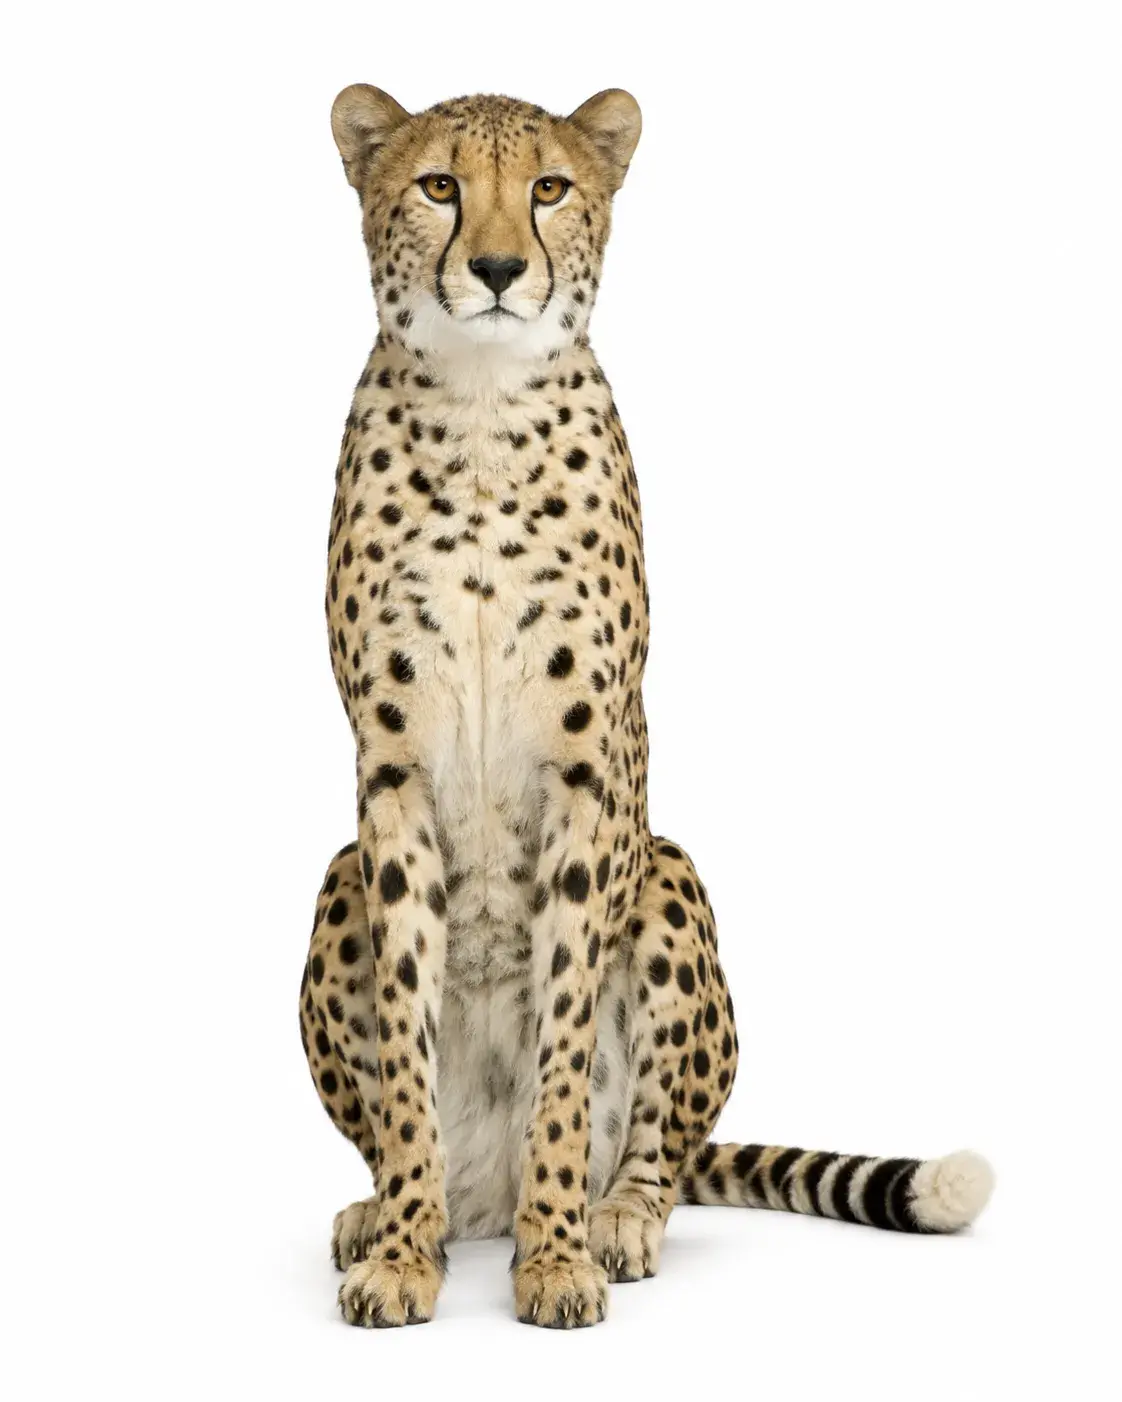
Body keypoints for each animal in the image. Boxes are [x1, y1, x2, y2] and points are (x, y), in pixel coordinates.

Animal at [298, 83, 994, 1329]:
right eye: (437, 185)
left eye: (549, 187)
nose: (495, 267)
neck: (481, 414)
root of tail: (488, 1188)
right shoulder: (389, 777)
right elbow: (408, 1049)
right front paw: (408, 1252)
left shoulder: (591, 779)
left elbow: (567, 1043)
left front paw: (557, 1256)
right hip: (337, 881)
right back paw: (390, 1210)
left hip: (667, 869)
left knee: (661, 1146)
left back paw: (612, 1214)